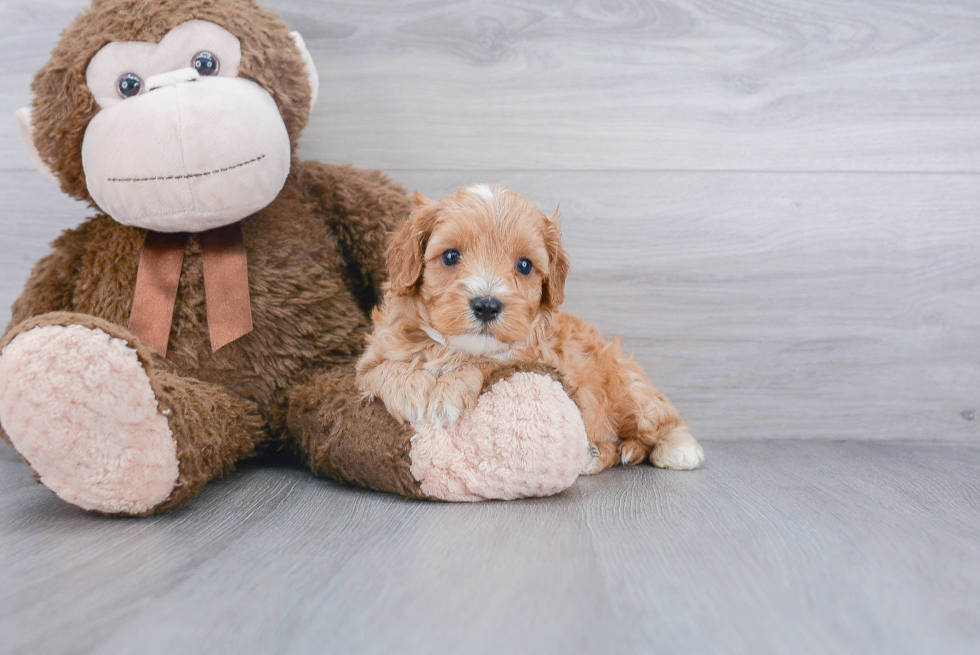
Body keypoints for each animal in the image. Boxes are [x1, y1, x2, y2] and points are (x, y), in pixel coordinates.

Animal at [358, 182, 704, 474]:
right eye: (451, 256)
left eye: (524, 265)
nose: (487, 306)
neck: (451, 346)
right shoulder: (369, 358)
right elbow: (382, 368)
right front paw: (412, 391)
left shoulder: (536, 357)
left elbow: (490, 360)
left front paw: (447, 391)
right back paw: (600, 454)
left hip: (631, 389)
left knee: (660, 418)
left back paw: (678, 448)